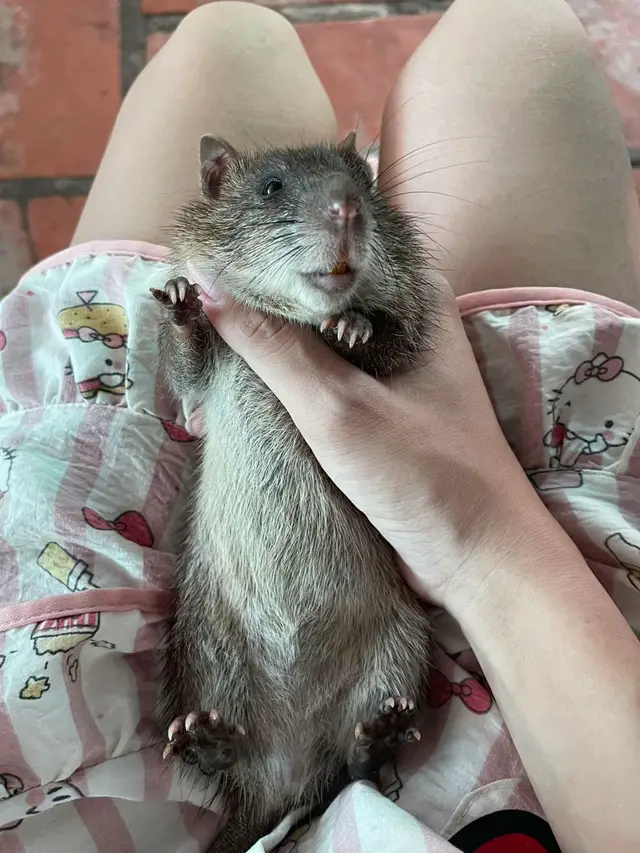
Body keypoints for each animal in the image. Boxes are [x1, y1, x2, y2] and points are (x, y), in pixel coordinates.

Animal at [152, 132, 439, 853]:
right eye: (271, 187)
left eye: (367, 187)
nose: (347, 209)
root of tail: (283, 775)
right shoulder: (204, 384)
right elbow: (187, 380)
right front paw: (181, 302)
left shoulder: (404, 336)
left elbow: (393, 345)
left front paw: (358, 328)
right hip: (200, 649)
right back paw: (208, 741)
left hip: (401, 647)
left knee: (356, 770)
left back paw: (378, 734)